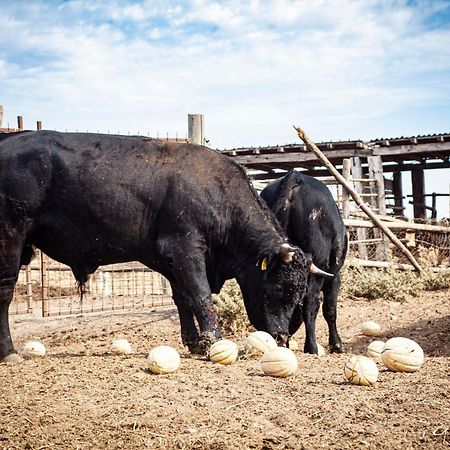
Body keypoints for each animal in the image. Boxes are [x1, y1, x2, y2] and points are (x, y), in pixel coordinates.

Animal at [0, 130, 326, 358]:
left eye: (299, 294)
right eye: (282, 288)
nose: (281, 337)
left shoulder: (167, 259)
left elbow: (183, 298)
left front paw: (194, 342)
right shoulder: (185, 250)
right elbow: (200, 295)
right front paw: (213, 340)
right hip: (10, 235)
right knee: (4, 293)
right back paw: (9, 352)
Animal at [256, 171, 348, 354]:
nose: (281, 336)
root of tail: (295, 177)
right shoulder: (333, 275)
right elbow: (329, 309)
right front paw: (336, 344)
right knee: (311, 304)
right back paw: (312, 347)